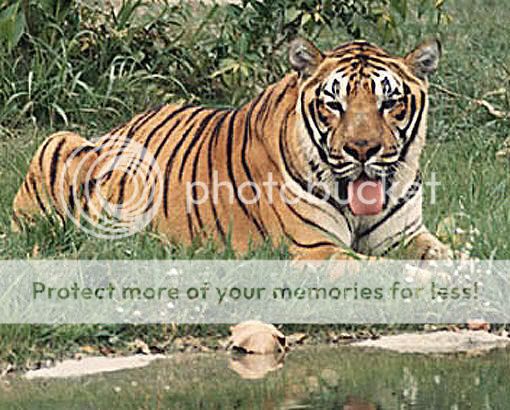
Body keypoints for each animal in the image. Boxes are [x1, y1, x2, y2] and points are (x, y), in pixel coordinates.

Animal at [10, 39, 454, 260]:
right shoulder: (315, 248)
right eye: (334, 104)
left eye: (389, 102)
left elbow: (450, 256)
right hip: (59, 141)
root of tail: (119, 127)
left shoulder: (407, 236)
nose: (362, 149)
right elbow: (386, 271)